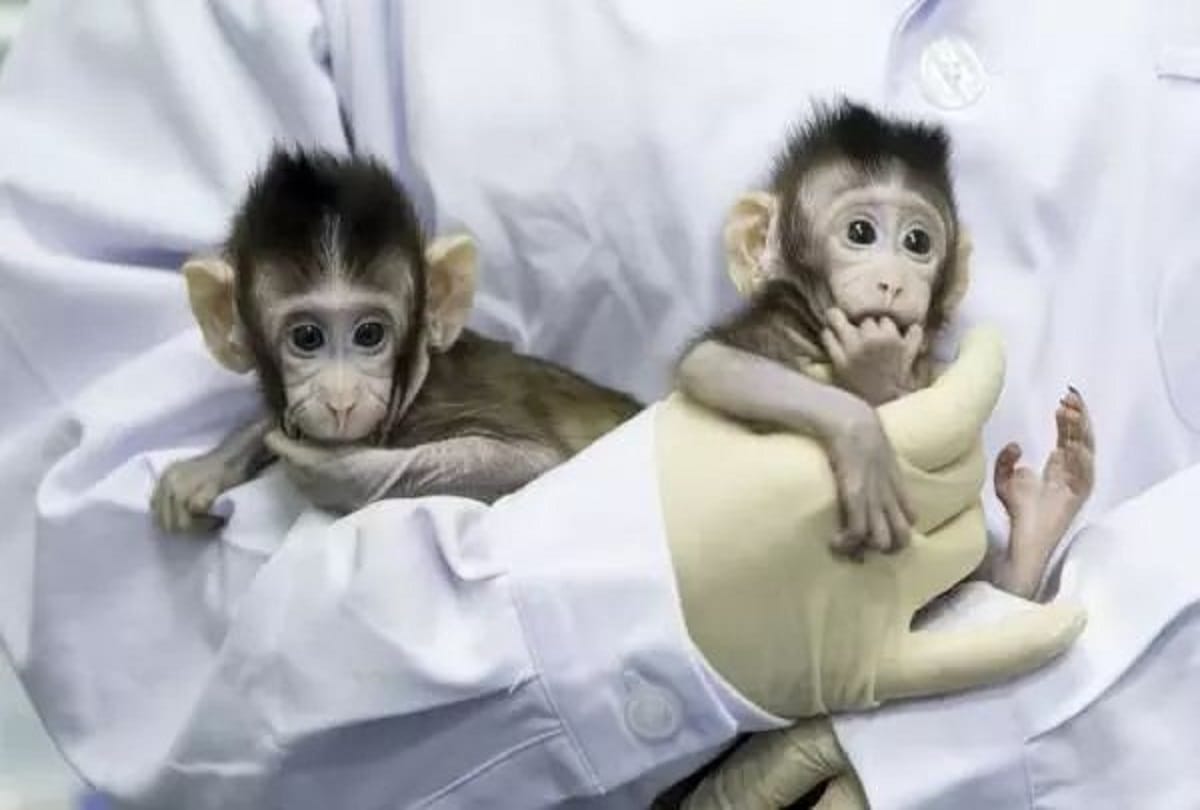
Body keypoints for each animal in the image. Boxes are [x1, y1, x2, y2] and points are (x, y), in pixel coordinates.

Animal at [152, 148, 641, 532]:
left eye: (369, 334)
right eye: (307, 337)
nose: (341, 399)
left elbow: (538, 462)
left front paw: (341, 471)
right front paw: (211, 464)